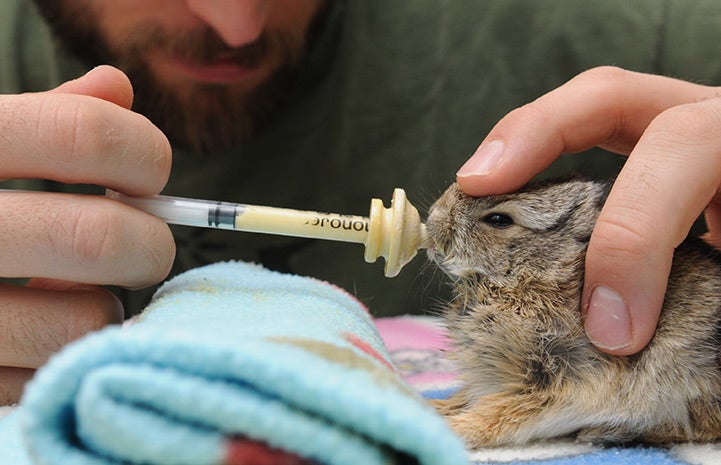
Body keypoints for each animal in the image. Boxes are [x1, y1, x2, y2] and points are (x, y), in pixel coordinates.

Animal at [424, 179, 720, 448]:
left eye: (499, 220)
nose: (433, 217)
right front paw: (435, 406)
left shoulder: (569, 381)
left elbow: (506, 414)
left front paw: (456, 429)